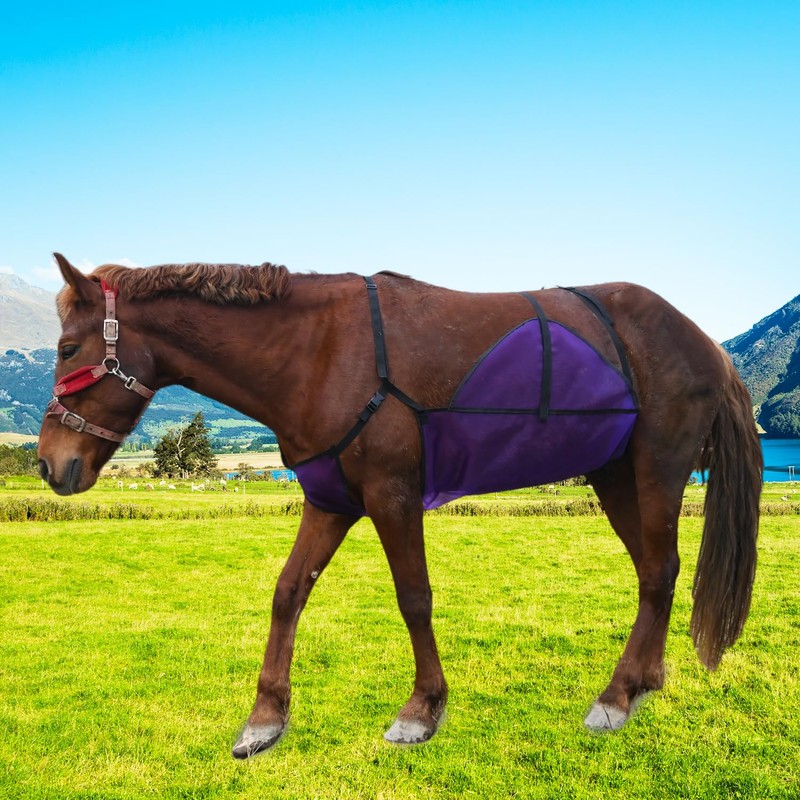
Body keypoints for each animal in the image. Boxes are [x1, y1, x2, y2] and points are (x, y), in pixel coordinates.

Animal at [38, 253, 762, 759]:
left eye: (68, 349)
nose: (48, 463)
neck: (318, 352)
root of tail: (705, 343)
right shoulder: (328, 501)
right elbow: (287, 593)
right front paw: (265, 719)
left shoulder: (393, 495)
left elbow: (413, 596)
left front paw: (423, 709)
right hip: (614, 477)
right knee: (654, 574)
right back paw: (641, 681)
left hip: (656, 470)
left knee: (660, 571)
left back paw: (616, 695)